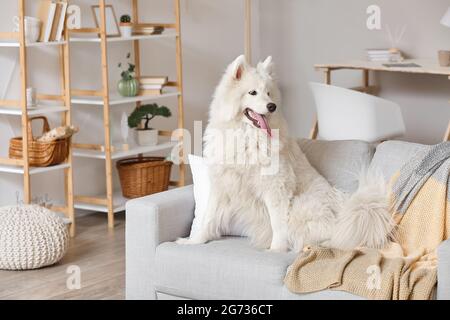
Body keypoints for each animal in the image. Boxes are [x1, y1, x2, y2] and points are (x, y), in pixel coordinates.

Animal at [178, 55, 392, 251]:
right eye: (252, 92)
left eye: (269, 93)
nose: (272, 106)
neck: (247, 137)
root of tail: (343, 210)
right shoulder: (222, 184)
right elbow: (208, 217)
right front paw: (194, 241)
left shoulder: (275, 187)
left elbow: (278, 224)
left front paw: (277, 249)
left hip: (302, 205)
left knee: (330, 236)